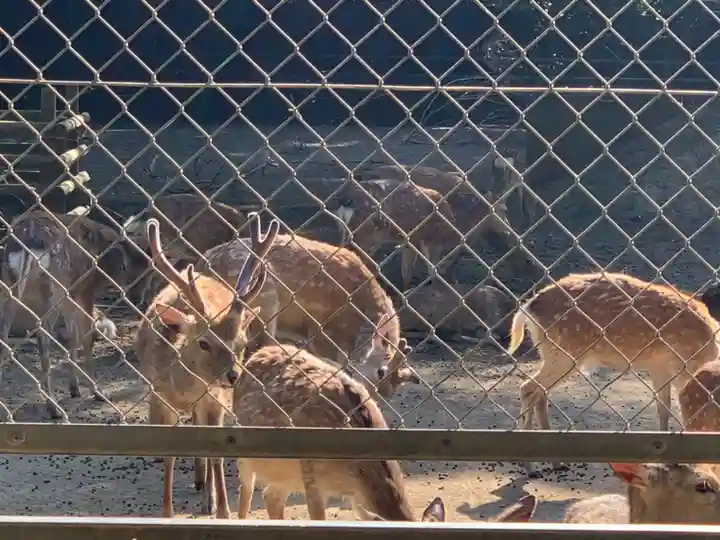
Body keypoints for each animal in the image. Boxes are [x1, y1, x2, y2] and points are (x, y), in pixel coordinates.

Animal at [0, 209, 149, 419]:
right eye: (145, 272)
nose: (139, 299)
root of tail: (27, 240)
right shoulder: (83, 289)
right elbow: (86, 336)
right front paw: (98, 392)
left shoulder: (69, 295)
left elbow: (71, 336)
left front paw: (75, 389)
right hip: (52, 287)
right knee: (43, 340)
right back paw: (54, 408)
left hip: (10, 285)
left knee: (4, 339)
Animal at [134, 212, 280, 519]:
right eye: (203, 343)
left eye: (241, 342)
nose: (233, 376)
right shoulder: (159, 397)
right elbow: (168, 455)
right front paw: (167, 513)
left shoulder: (215, 400)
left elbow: (217, 452)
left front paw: (223, 511)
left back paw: (207, 496)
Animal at [233, 344, 419, 521]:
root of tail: (258, 353)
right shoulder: (312, 475)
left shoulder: (355, 497)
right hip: (245, 453)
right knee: (246, 493)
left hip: (288, 476)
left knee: (270, 496)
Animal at [506, 271, 720, 477]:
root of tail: (528, 308)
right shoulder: (680, 367)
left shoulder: (659, 366)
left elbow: (663, 408)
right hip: (564, 353)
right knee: (528, 388)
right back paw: (531, 467)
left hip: (553, 352)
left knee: (539, 393)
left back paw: (556, 463)